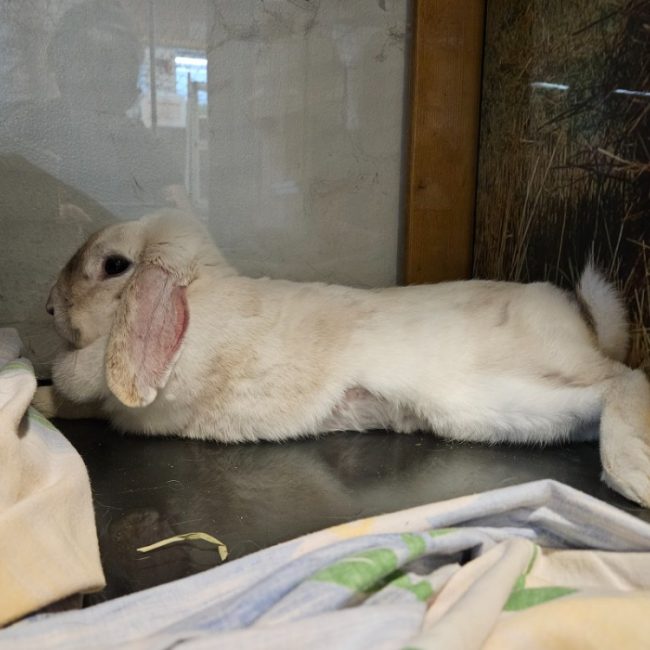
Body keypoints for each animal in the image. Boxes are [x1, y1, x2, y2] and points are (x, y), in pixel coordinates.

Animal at [34, 209, 650, 507]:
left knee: (624, 380)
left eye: (114, 266)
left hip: (515, 392)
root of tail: (580, 324)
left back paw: (632, 477)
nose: (48, 307)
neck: (198, 295)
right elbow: (70, 401)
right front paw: (38, 400)